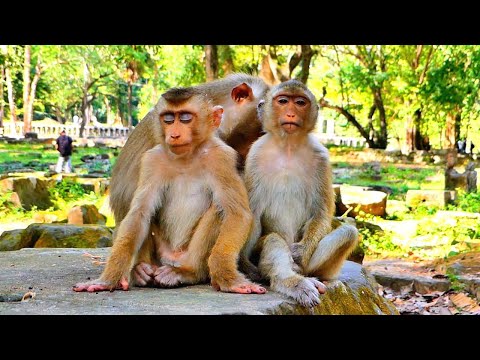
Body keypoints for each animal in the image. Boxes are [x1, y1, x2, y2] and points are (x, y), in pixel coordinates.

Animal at [73, 88, 266, 296]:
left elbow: (236, 213)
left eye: (186, 118)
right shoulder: (151, 160)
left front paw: (228, 279)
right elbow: (139, 214)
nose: (173, 134)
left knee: (218, 209)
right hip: (160, 254)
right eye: (168, 119)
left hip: (185, 256)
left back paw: (187, 272)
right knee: (144, 216)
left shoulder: (222, 158)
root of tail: (171, 260)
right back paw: (140, 270)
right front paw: (108, 280)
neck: (186, 158)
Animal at [244, 80, 356, 308]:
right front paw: (242, 263)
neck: (288, 146)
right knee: (272, 240)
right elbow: (253, 213)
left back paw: (309, 276)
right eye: (283, 101)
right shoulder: (254, 155)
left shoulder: (321, 158)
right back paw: (292, 282)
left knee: (349, 233)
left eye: (300, 103)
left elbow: (320, 212)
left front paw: (301, 252)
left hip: (315, 266)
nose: (291, 113)